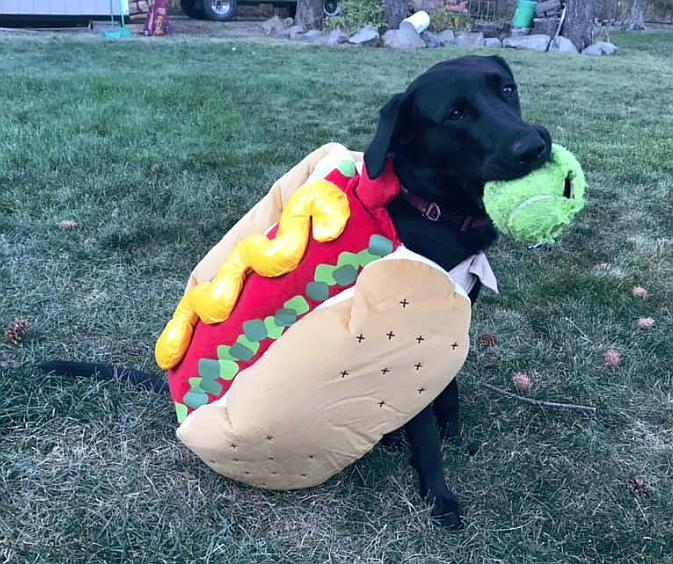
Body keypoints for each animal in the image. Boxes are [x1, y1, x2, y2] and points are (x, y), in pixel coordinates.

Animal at [43, 55, 552, 532]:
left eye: (507, 89)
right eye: (455, 114)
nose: (535, 146)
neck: (429, 208)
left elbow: (449, 392)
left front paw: (454, 435)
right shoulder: (416, 335)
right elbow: (426, 430)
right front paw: (439, 496)